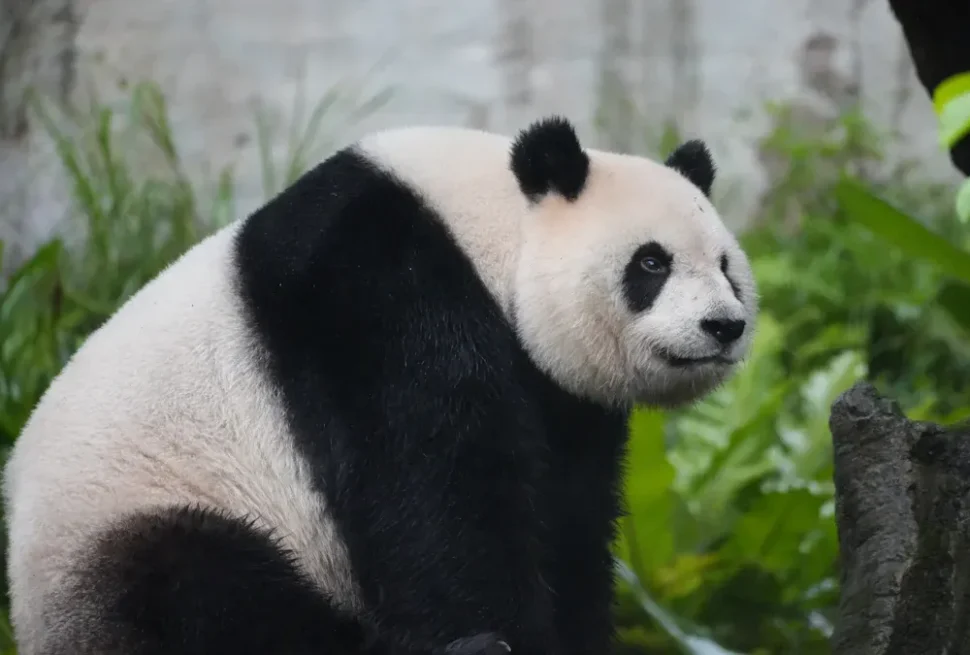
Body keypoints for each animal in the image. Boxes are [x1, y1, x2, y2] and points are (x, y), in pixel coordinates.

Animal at [2, 116, 757, 655]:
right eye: (651, 263)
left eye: (726, 266)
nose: (723, 325)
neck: (484, 224)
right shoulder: (377, 295)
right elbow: (438, 494)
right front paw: (495, 632)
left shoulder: (563, 398)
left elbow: (567, 519)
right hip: (126, 517)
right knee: (196, 589)